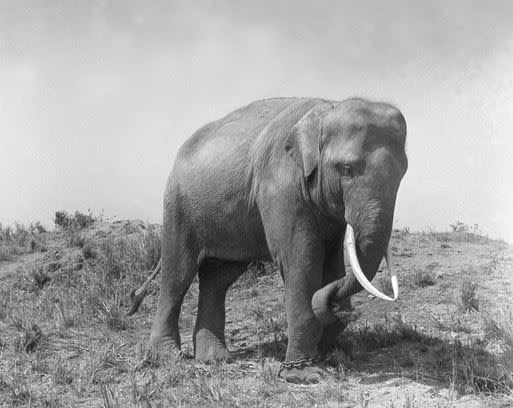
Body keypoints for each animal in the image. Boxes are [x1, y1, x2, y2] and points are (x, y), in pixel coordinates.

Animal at [143, 97, 404, 384]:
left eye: (403, 171)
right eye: (346, 168)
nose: (345, 310)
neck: (328, 108)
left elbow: (331, 260)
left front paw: (329, 354)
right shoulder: (279, 187)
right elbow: (301, 260)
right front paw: (303, 374)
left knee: (218, 279)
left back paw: (214, 359)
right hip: (178, 208)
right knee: (177, 274)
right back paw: (167, 357)